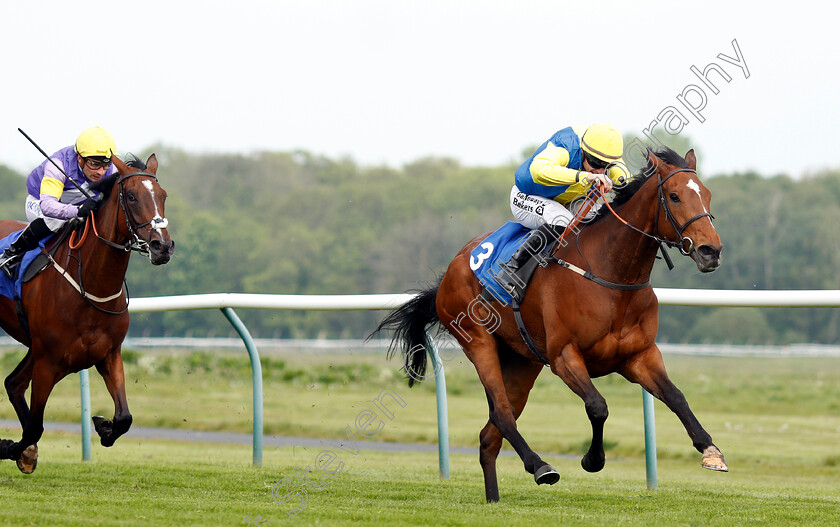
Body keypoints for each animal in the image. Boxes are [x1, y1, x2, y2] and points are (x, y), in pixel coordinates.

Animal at [0, 154, 172, 474]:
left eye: (163, 195)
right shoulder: (48, 362)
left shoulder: (108, 355)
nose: (162, 246)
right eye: (131, 196)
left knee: (14, 383)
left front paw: (103, 426)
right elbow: (35, 428)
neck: (90, 285)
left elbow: (124, 418)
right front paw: (11, 448)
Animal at [376, 146, 728, 502]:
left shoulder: (639, 356)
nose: (710, 250)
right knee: (501, 414)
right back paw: (540, 466)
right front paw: (592, 459)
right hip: (478, 341)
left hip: (523, 361)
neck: (612, 275)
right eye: (674, 196)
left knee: (489, 435)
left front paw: (710, 451)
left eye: (707, 195)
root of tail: (453, 267)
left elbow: (676, 397)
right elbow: (598, 406)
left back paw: (494, 499)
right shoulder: (564, 356)